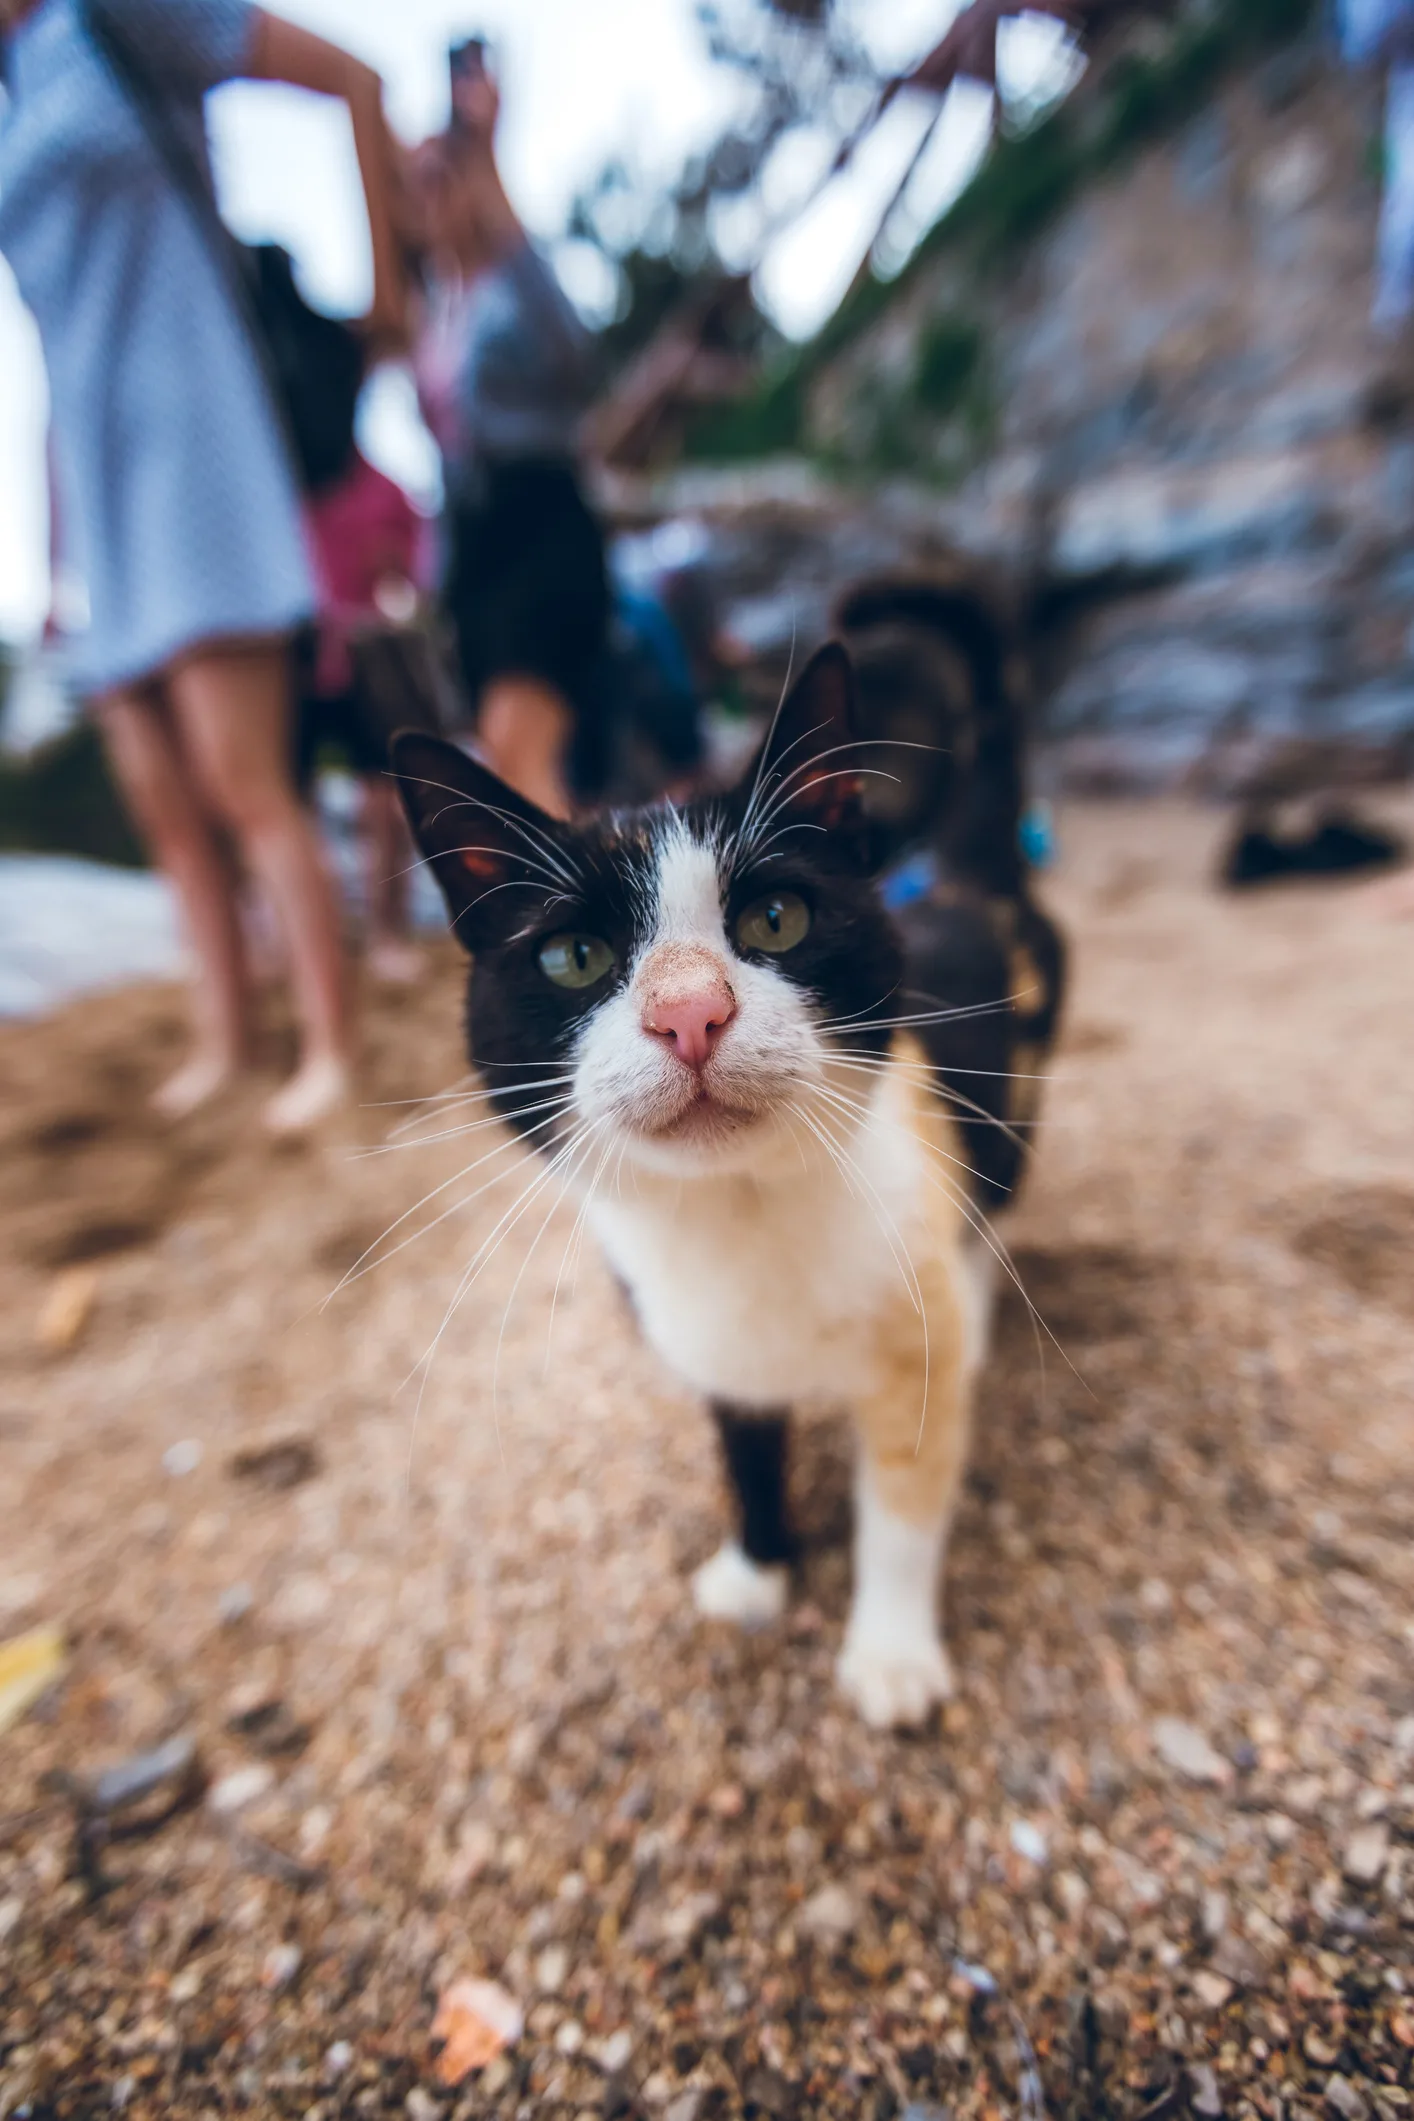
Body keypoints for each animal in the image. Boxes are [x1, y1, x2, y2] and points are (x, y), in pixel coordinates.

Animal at [396, 623, 1059, 1722]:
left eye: (778, 919)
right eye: (574, 956)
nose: (690, 1014)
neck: (738, 1213)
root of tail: (955, 879)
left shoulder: (906, 1331)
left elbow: (905, 1499)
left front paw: (889, 1652)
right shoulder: (704, 1341)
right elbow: (744, 1449)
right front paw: (755, 1571)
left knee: (995, 1195)